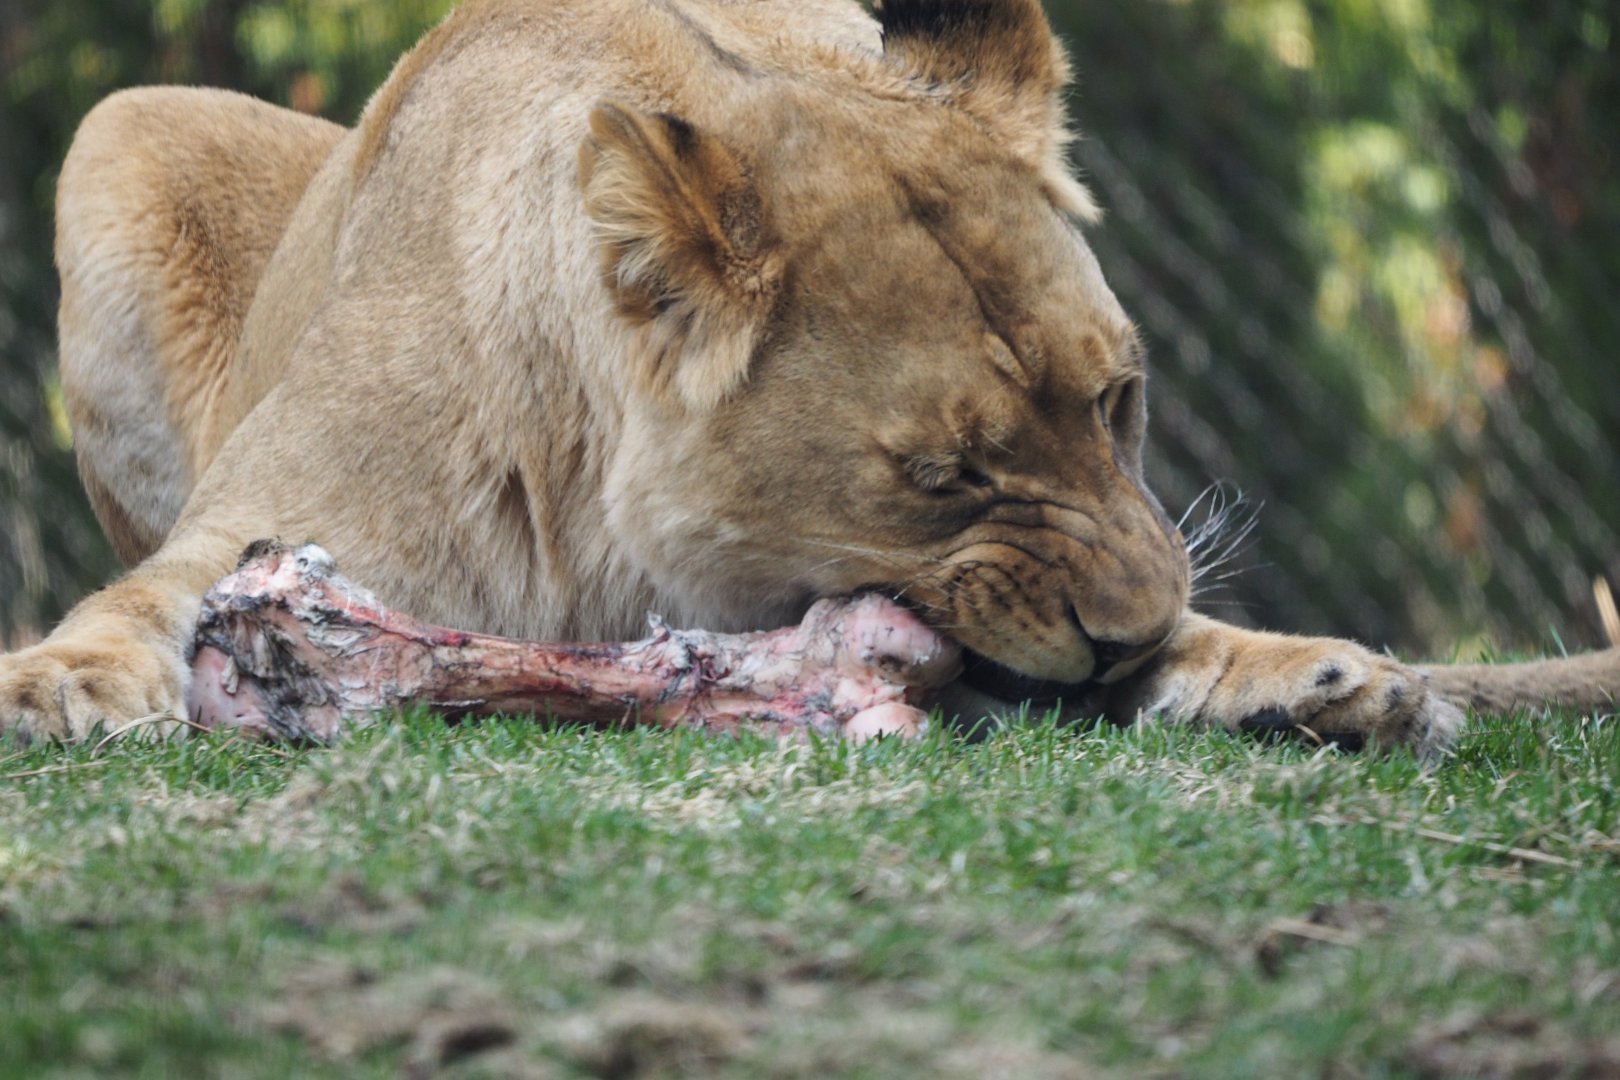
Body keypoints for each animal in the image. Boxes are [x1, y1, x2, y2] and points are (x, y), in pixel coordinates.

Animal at [1, 0, 1612, 751]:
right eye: (945, 476)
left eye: (1118, 403)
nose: (1133, 635)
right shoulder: (264, 523)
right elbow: (149, 595)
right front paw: (60, 678)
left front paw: (1307, 676)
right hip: (120, 129)